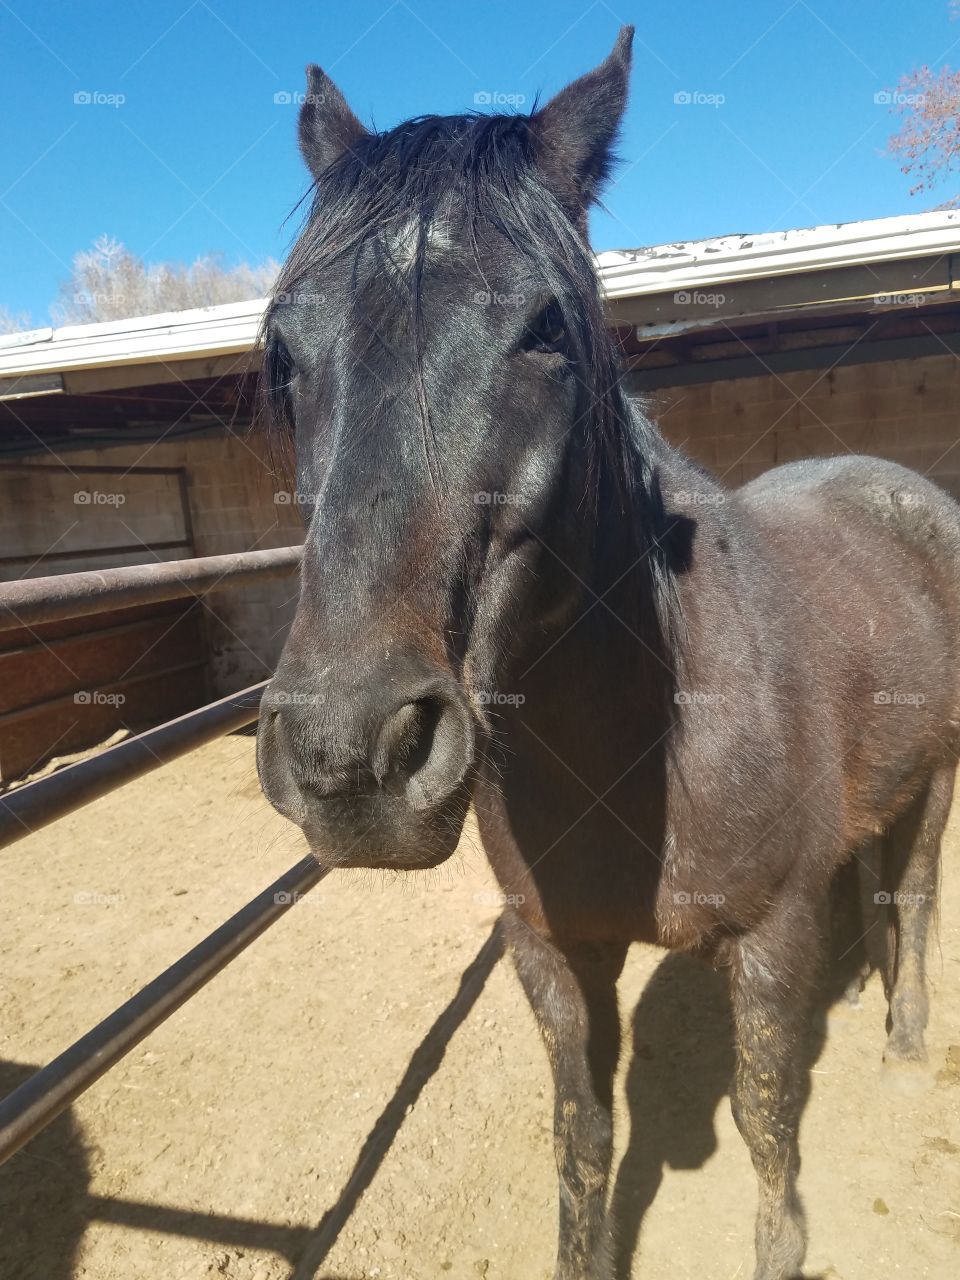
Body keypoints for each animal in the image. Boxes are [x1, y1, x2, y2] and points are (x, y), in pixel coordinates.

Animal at [257, 27, 960, 1280]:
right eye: (284, 350)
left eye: (547, 327)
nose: (353, 753)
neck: (635, 737)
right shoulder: (552, 951)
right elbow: (581, 1138)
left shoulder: (769, 936)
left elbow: (765, 1111)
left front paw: (781, 1243)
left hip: (940, 778)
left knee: (917, 892)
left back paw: (907, 1039)